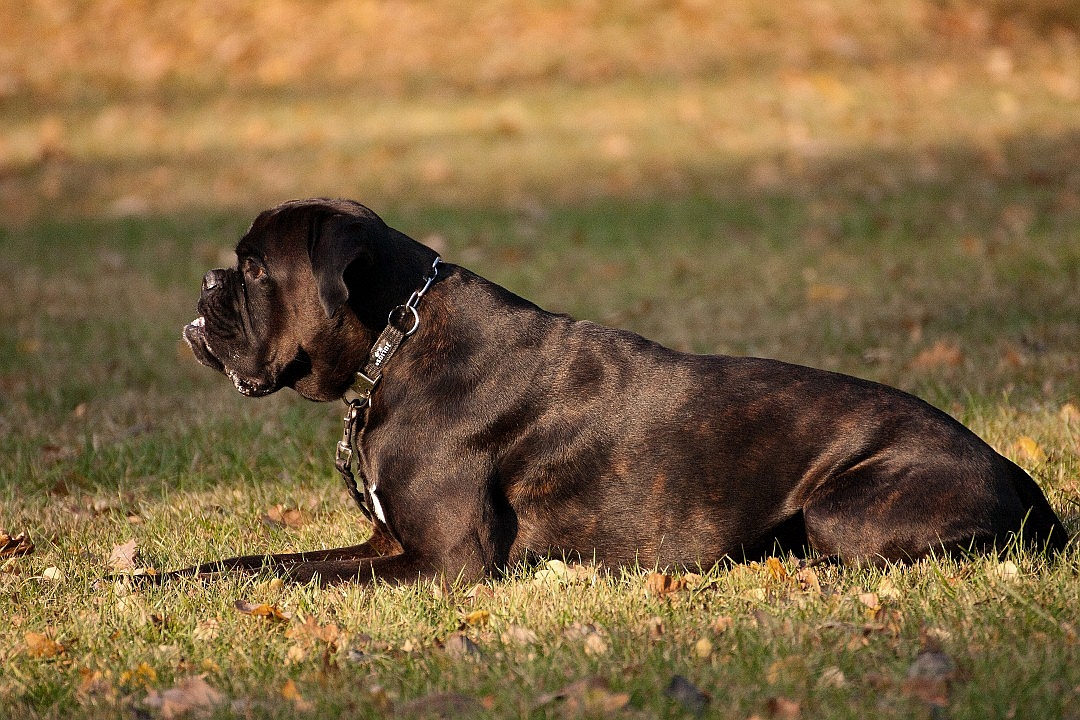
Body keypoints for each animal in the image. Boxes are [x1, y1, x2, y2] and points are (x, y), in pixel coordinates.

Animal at [181, 198, 1067, 587]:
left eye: (254, 268)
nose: (208, 282)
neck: (395, 338)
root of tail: (1020, 479)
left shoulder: (444, 564)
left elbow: (298, 576)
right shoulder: (385, 543)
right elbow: (253, 561)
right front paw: (157, 581)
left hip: (844, 511)